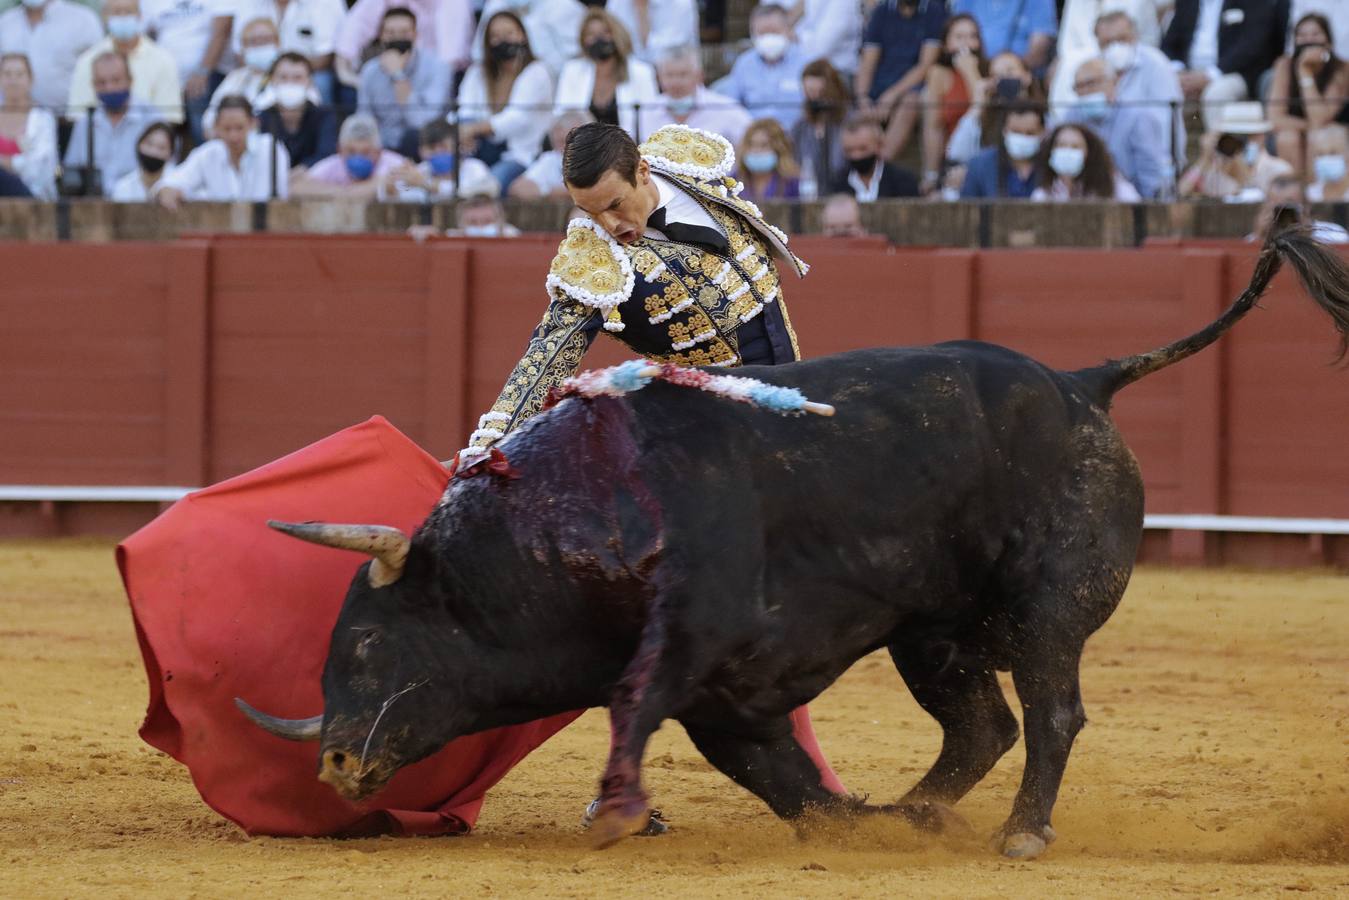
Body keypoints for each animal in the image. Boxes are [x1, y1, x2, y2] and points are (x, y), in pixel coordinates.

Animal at [237, 225, 1349, 858]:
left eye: (366, 642)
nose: (335, 762)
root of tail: (1082, 382)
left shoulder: (690, 632)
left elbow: (643, 711)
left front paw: (616, 815)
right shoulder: (726, 694)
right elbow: (777, 779)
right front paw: (852, 823)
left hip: (1043, 605)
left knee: (1051, 711)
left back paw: (1020, 833)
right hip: (931, 631)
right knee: (979, 726)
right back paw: (914, 817)